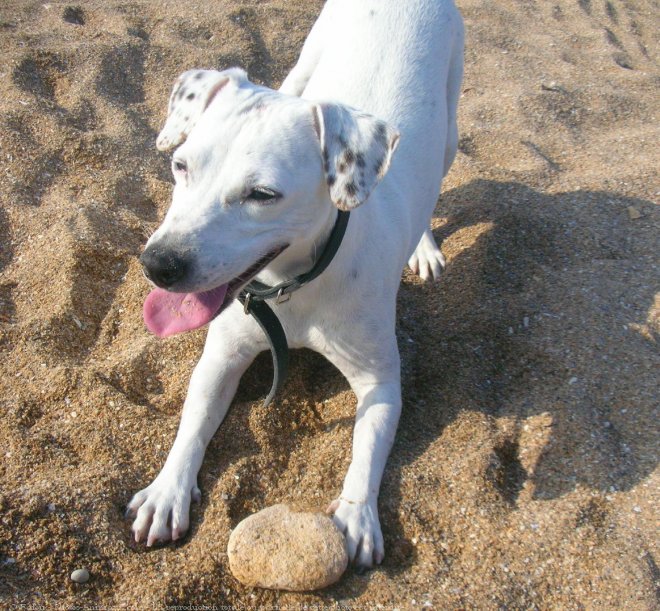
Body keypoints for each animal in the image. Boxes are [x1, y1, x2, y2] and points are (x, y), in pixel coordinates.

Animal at [129, 0, 464, 568]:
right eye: (180, 166)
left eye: (263, 195)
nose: (159, 264)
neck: (294, 288)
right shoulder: (221, 357)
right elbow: (193, 421)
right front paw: (167, 489)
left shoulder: (381, 383)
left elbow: (367, 448)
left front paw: (357, 514)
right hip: (307, 61)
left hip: (449, 129)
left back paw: (423, 245)